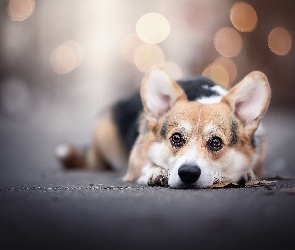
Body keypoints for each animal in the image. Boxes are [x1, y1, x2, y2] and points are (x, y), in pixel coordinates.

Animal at [56, 65, 272, 188]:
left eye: (216, 142)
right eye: (176, 138)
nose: (188, 173)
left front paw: (246, 174)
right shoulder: (136, 159)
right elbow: (145, 165)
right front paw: (156, 171)